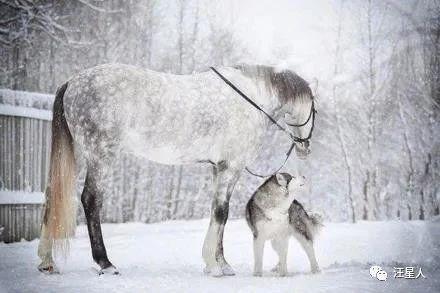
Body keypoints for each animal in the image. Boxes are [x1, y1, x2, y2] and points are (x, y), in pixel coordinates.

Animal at [36, 62, 314, 274]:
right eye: (314, 108)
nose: (305, 148)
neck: (250, 98)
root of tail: (72, 82)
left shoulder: (220, 168)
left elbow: (217, 212)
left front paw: (221, 264)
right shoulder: (230, 168)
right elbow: (221, 213)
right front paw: (214, 265)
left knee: (52, 196)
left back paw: (47, 262)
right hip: (100, 156)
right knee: (91, 200)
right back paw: (105, 263)